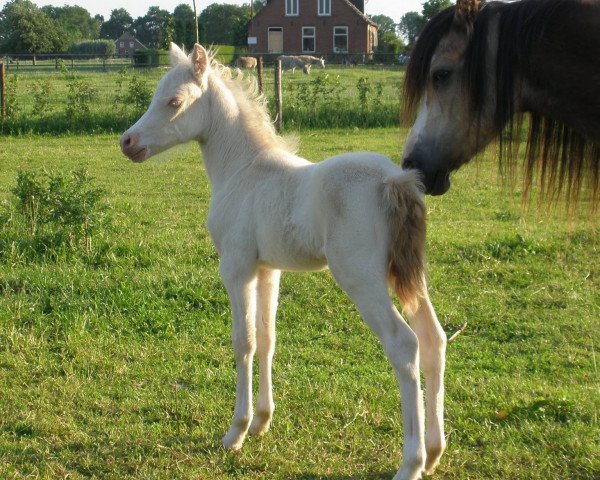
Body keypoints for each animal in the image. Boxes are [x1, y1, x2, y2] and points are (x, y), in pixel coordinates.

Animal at [120, 42, 446, 480]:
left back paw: (410, 463)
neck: (243, 171)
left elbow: (243, 341)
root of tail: (396, 181)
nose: (128, 141)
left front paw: (236, 432)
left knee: (404, 344)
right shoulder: (268, 269)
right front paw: (261, 421)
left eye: (174, 101)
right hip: (407, 274)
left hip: (361, 278)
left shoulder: (236, 267)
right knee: (434, 339)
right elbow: (268, 338)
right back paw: (434, 452)